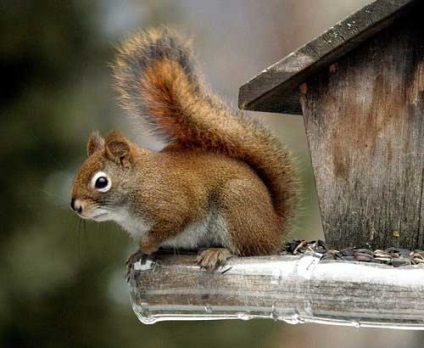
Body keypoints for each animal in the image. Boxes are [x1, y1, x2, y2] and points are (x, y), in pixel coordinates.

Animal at [70, 28, 298, 270]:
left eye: (101, 182)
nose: (76, 207)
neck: (139, 186)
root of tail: (274, 229)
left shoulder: (176, 206)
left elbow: (171, 224)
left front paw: (146, 245)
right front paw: (137, 254)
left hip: (237, 207)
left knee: (247, 249)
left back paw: (217, 251)